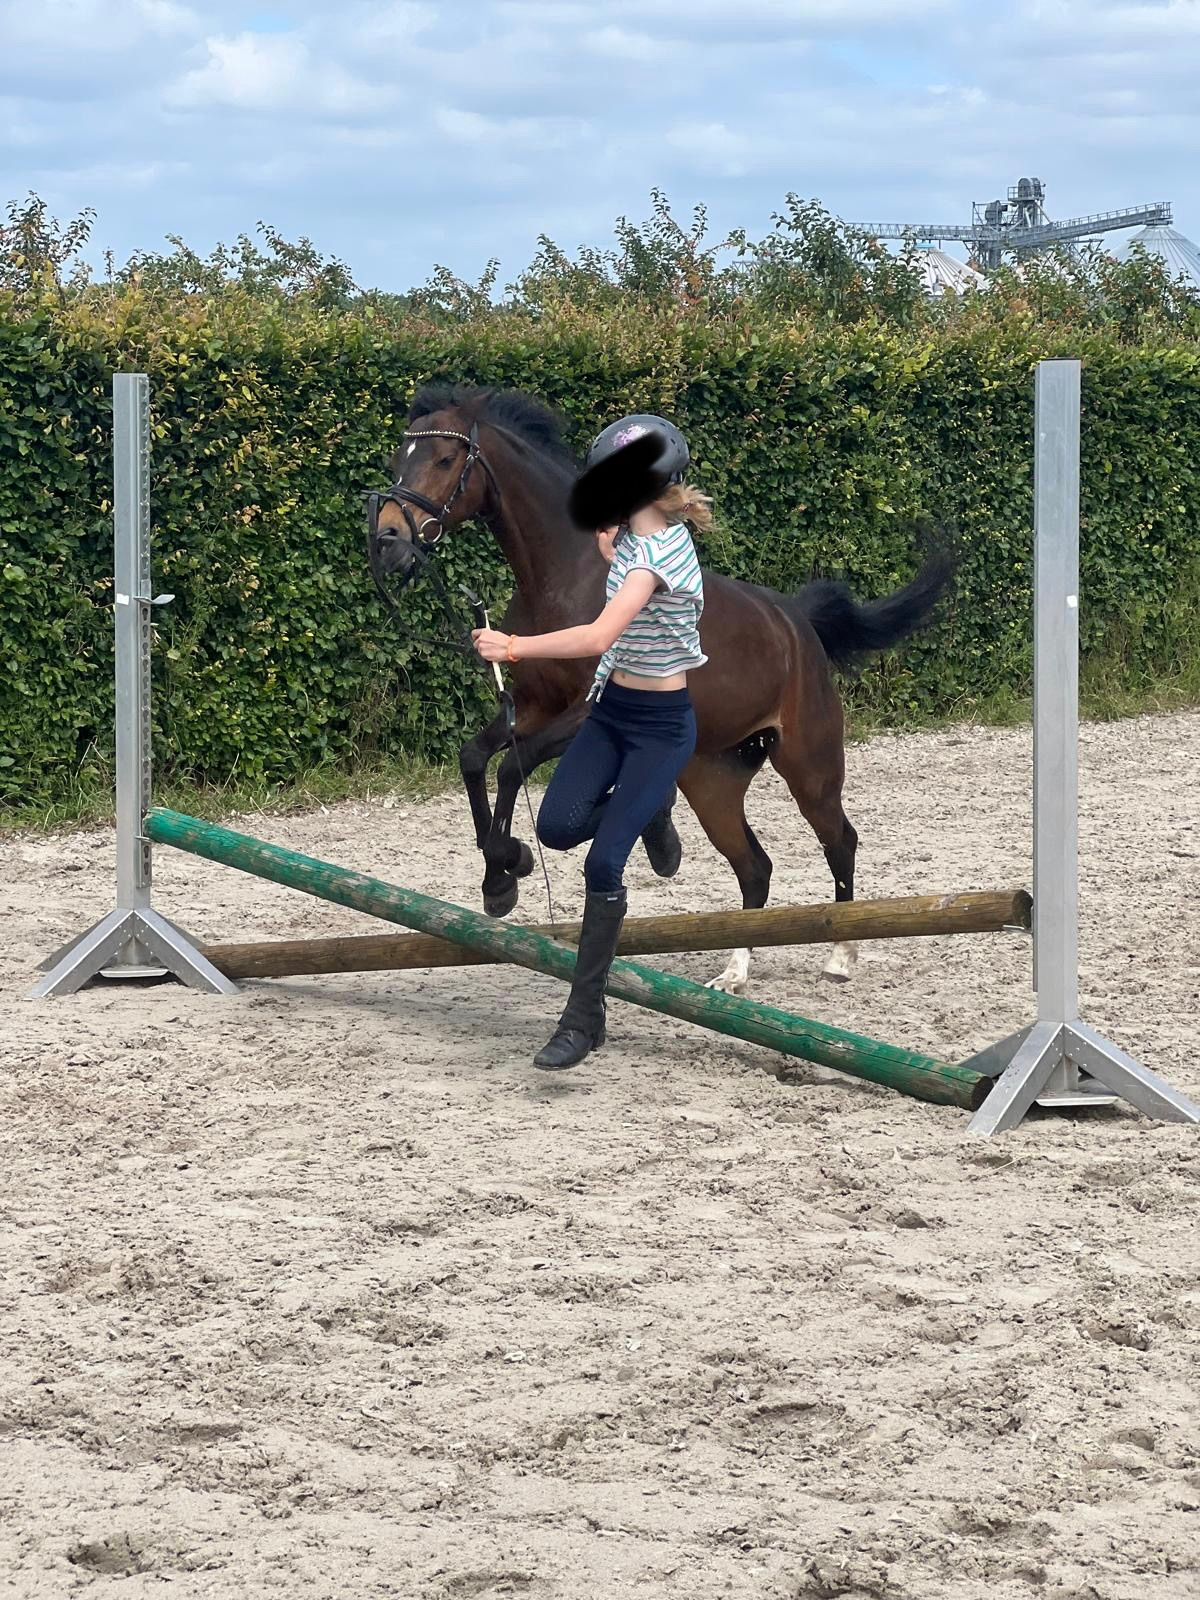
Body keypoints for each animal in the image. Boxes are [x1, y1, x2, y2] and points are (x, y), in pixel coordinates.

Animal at [368, 384, 952, 991]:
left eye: (444, 459)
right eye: (398, 458)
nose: (387, 542)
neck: (565, 576)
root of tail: (797, 624)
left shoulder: (582, 714)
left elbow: (511, 768)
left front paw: (510, 868)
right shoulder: (532, 707)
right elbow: (475, 759)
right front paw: (500, 877)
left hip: (809, 768)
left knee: (839, 840)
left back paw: (839, 955)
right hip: (714, 778)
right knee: (754, 866)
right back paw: (731, 967)